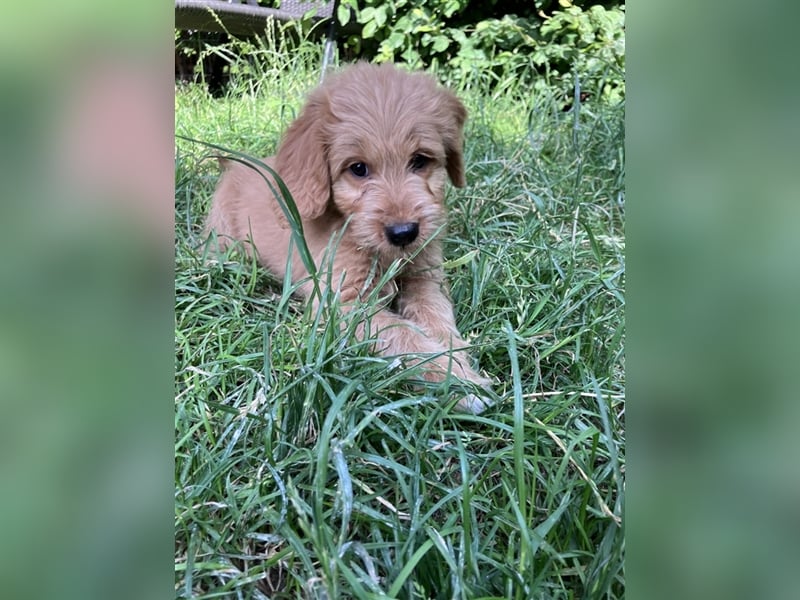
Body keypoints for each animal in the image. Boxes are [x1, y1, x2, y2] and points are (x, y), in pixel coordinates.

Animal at [205, 62, 494, 412]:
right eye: (358, 168)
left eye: (420, 160)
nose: (404, 233)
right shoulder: (342, 304)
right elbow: (403, 335)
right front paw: (457, 381)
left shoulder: (425, 277)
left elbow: (436, 316)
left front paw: (456, 356)